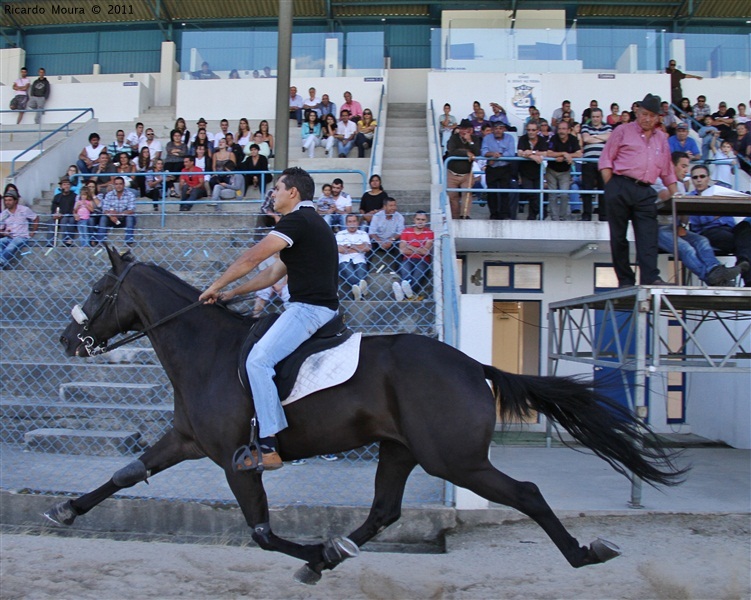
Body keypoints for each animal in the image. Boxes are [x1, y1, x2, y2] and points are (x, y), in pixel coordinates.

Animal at [48, 246, 688, 584]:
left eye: (101, 288)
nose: (67, 341)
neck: (208, 350)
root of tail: (470, 364)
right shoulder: (185, 439)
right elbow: (127, 473)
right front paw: (66, 510)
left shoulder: (236, 461)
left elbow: (262, 533)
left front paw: (308, 552)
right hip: (401, 450)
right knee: (384, 510)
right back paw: (335, 553)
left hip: (453, 458)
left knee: (525, 493)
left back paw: (582, 553)